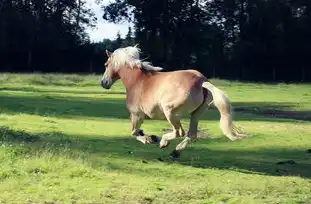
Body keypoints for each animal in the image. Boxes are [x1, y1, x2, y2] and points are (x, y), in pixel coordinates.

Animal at [101, 45, 247, 159]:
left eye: (106, 65)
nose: (103, 83)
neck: (137, 81)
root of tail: (202, 81)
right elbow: (136, 132)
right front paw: (151, 137)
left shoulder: (137, 115)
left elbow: (133, 133)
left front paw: (151, 139)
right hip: (196, 114)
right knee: (191, 134)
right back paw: (175, 152)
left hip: (170, 112)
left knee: (179, 132)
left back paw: (164, 143)